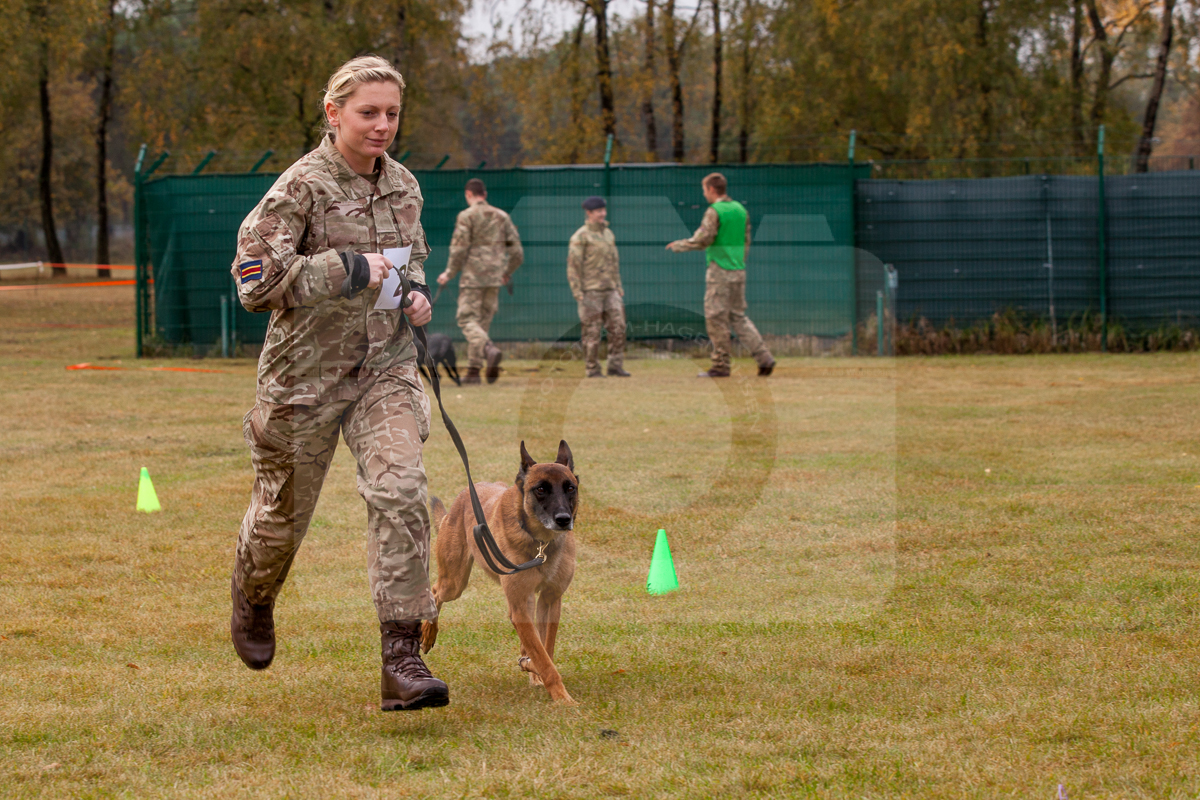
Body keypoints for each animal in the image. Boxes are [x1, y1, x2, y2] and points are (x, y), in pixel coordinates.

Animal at [422, 441, 580, 705]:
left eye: (570, 488)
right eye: (540, 489)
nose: (563, 519)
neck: (541, 543)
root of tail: (464, 494)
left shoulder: (550, 600)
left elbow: (545, 650)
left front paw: (531, 666)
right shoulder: (520, 606)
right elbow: (543, 658)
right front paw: (562, 697)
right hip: (454, 582)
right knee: (435, 591)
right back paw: (428, 631)